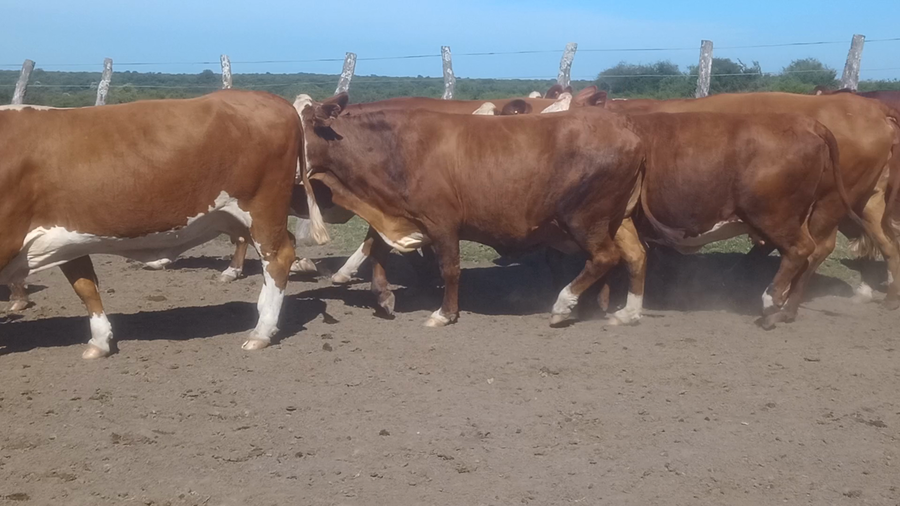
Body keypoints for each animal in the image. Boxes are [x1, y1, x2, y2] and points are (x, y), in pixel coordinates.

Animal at [0, 91, 328, 358]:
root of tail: (275, 101)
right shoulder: (68, 236)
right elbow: (85, 286)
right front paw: (100, 340)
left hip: (263, 207)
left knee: (277, 257)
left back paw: (261, 331)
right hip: (239, 215)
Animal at [294, 92, 644, 327]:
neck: (394, 149)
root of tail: (627, 129)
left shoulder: (442, 221)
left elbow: (449, 268)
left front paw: (444, 313)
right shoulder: (397, 213)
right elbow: (376, 247)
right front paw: (382, 296)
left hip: (585, 218)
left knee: (605, 257)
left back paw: (563, 304)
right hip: (618, 219)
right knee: (634, 256)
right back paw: (622, 310)